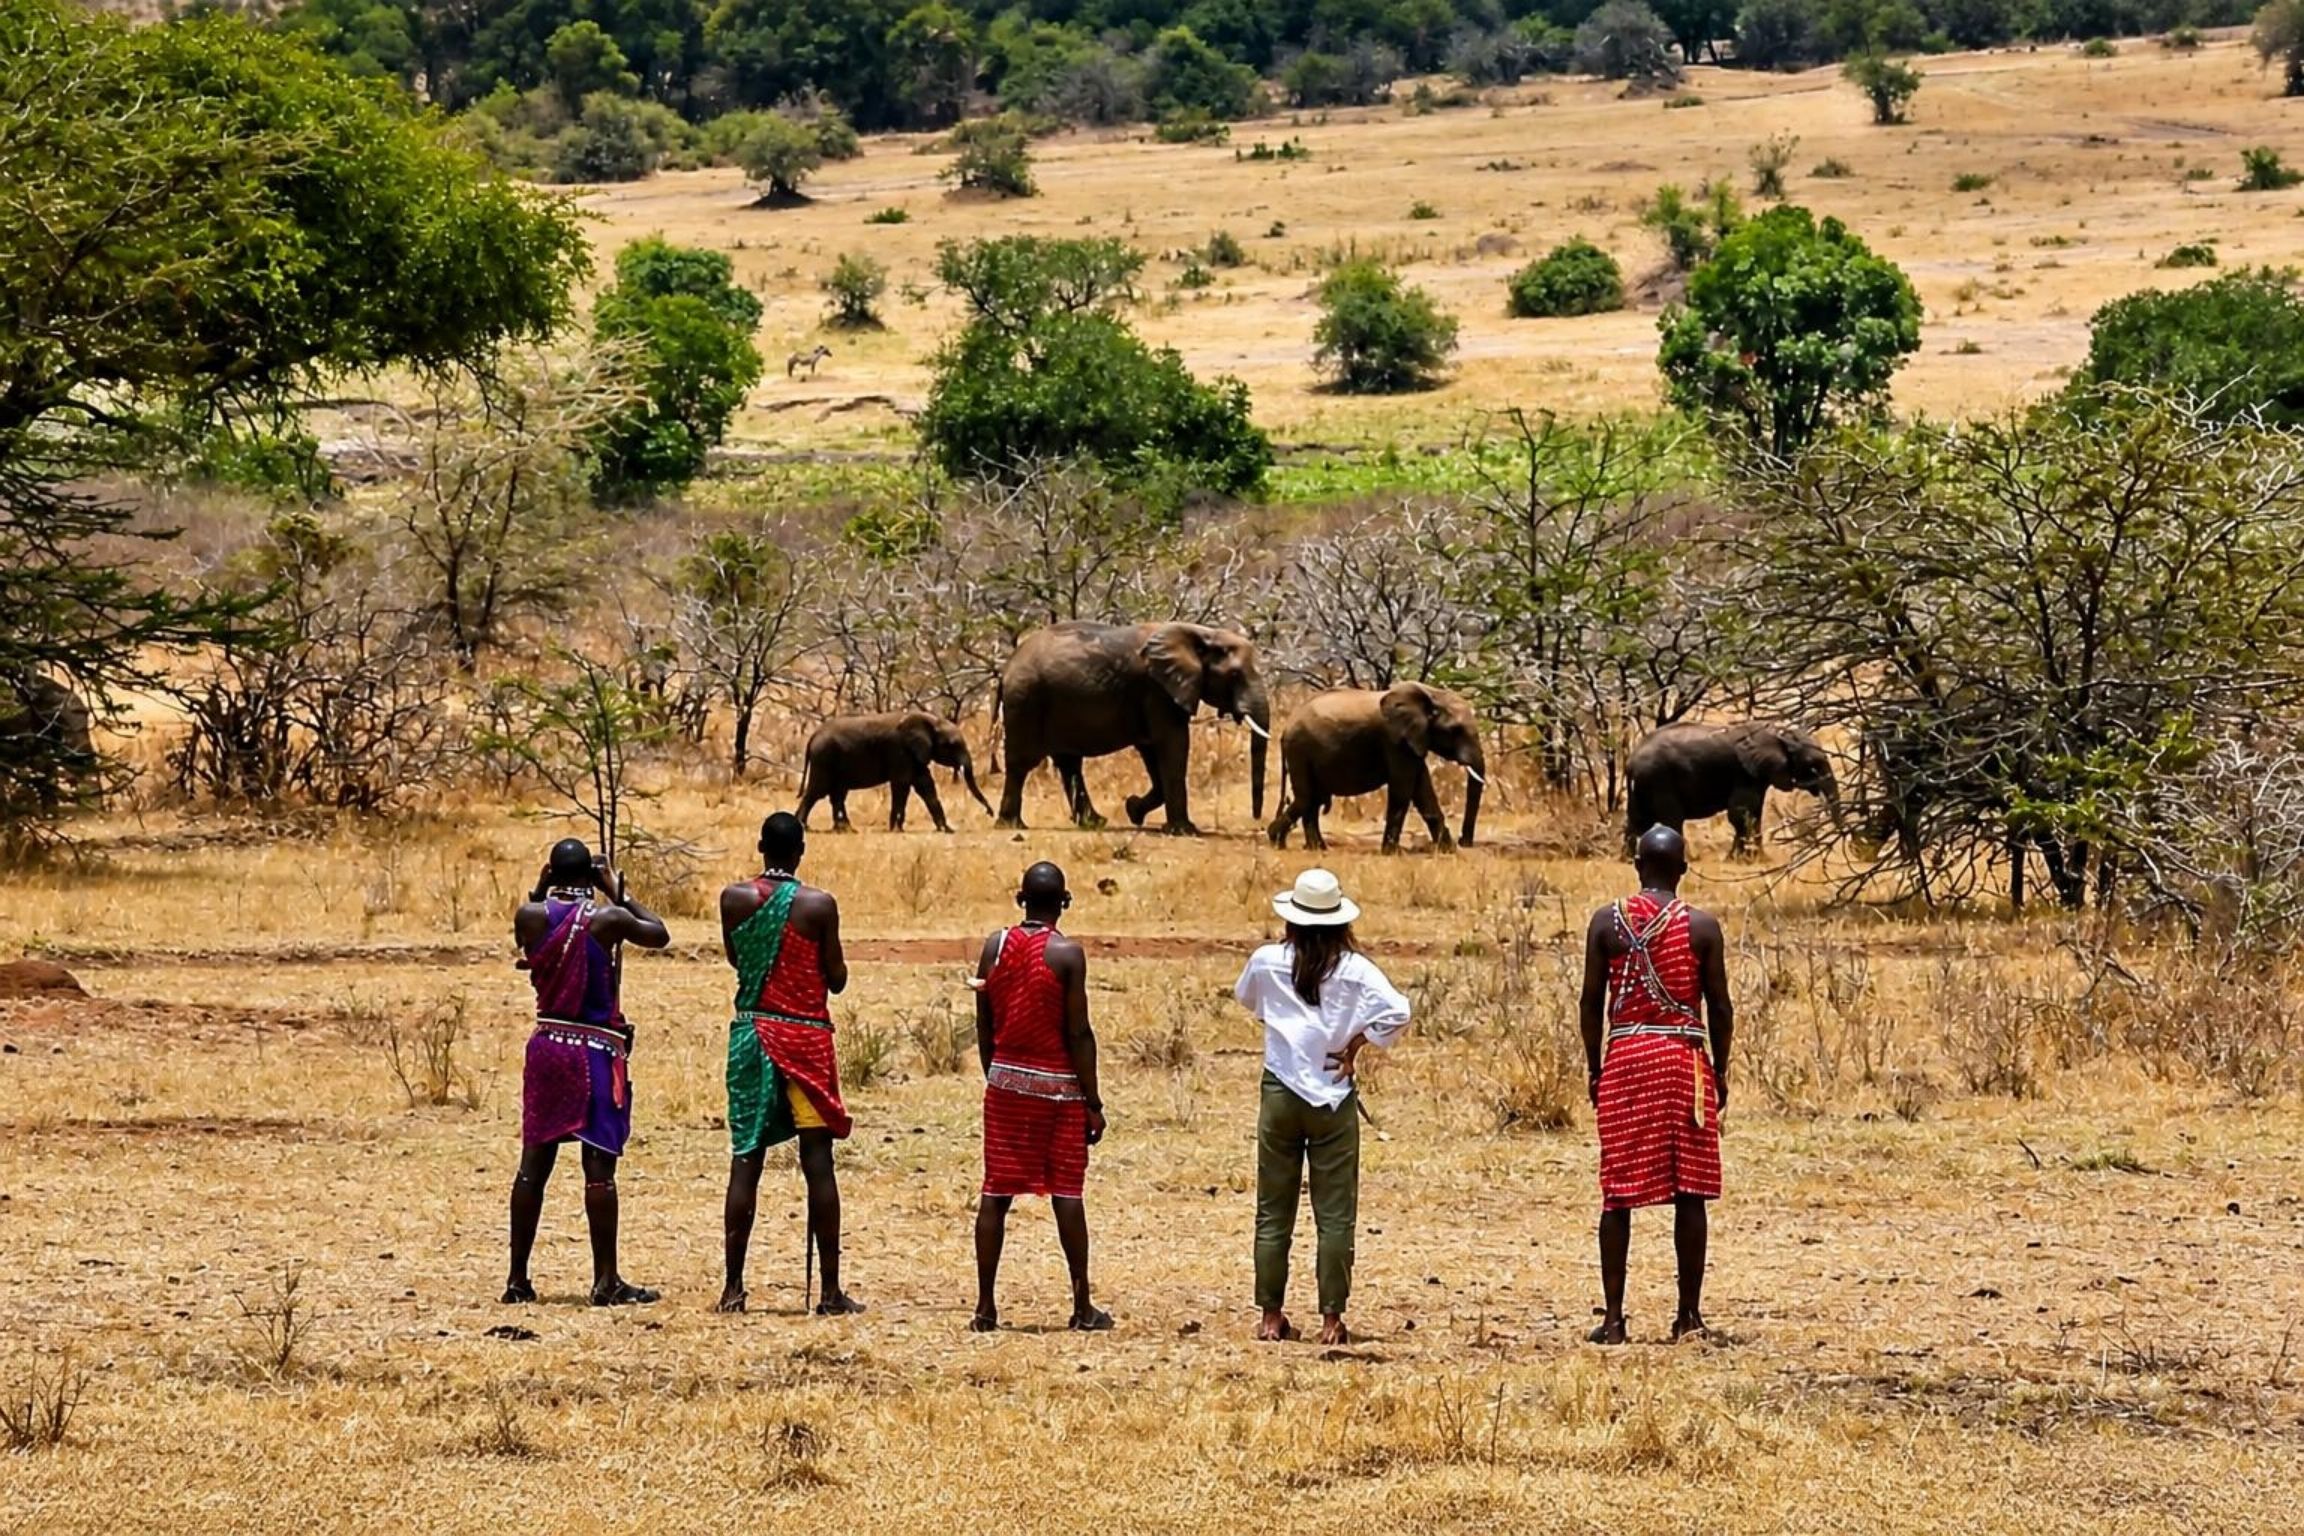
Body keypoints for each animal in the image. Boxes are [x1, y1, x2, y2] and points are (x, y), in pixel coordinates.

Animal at [796, 711, 993, 833]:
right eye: (952, 745)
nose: (989, 813)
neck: (929, 720)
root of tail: (813, 736)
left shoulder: (915, 754)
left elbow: (925, 785)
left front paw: (946, 830)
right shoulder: (900, 751)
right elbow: (902, 784)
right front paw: (896, 829)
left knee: (837, 794)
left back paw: (846, 830)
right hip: (824, 757)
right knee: (817, 791)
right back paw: (804, 827)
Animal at [995, 621, 1270, 836]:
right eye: (1234, 675)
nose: (1257, 820)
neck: (1203, 633)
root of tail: (1006, 668)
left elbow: (1152, 751)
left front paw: (1133, 810)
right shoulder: (1158, 689)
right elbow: (1173, 743)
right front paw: (1184, 830)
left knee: (1069, 764)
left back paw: (1095, 823)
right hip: (1025, 699)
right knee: (1023, 762)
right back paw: (1012, 825)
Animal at [1267, 682, 1486, 853]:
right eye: (1455, 730)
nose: (1464, 841)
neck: (1431, 694)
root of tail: (1286, 728)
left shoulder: (1413, 741)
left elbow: (1423, 792)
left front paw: (1448, 850)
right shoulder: (1395, 741)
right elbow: (1403, 790)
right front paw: (1392, 853)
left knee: (1313, 800)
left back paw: (1313, 847)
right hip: (1300, 749)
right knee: (1307, 798)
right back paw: (1279, 841)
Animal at [1625, 721, 1838, 856]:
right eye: (1813, 765)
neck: (1779, 732)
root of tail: (1631, 761)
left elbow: (1754, 814)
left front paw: (1757, 859)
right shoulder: (1743, 772)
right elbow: (1740, 814)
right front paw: (1741, 859)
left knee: (1637, 822)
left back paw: (1628, 859)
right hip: (1659, 778)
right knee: (1671, 820)